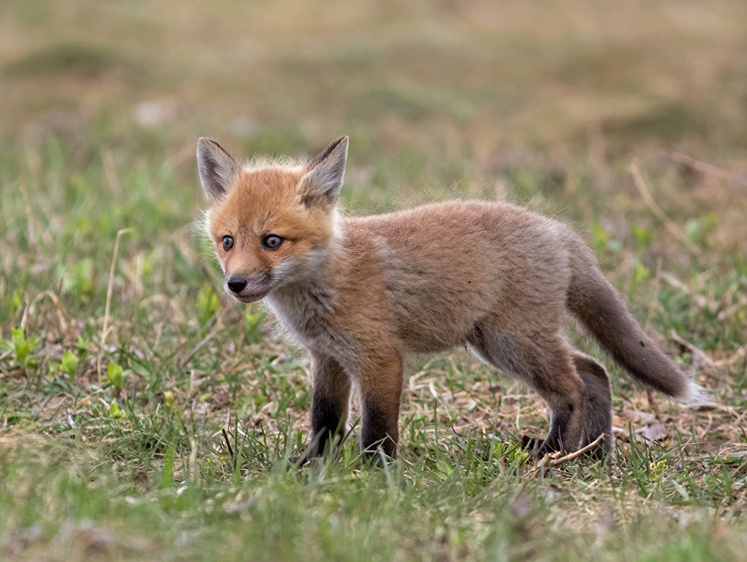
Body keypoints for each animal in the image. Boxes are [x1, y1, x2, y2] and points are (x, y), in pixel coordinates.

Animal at [196, 136, 704, 460]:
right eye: (227, 242)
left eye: (272, 241)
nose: (235, 284)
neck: (326, 282)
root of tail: (557, 229)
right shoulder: (329, 358)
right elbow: (324, 421)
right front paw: (310, 467)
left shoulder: (381, 357)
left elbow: (378, 429)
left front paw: (376, 475)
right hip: (500, 343)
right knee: (594, 369)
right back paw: (592, 453)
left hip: (513, 342)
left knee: (573, 387)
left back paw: (553, 452)